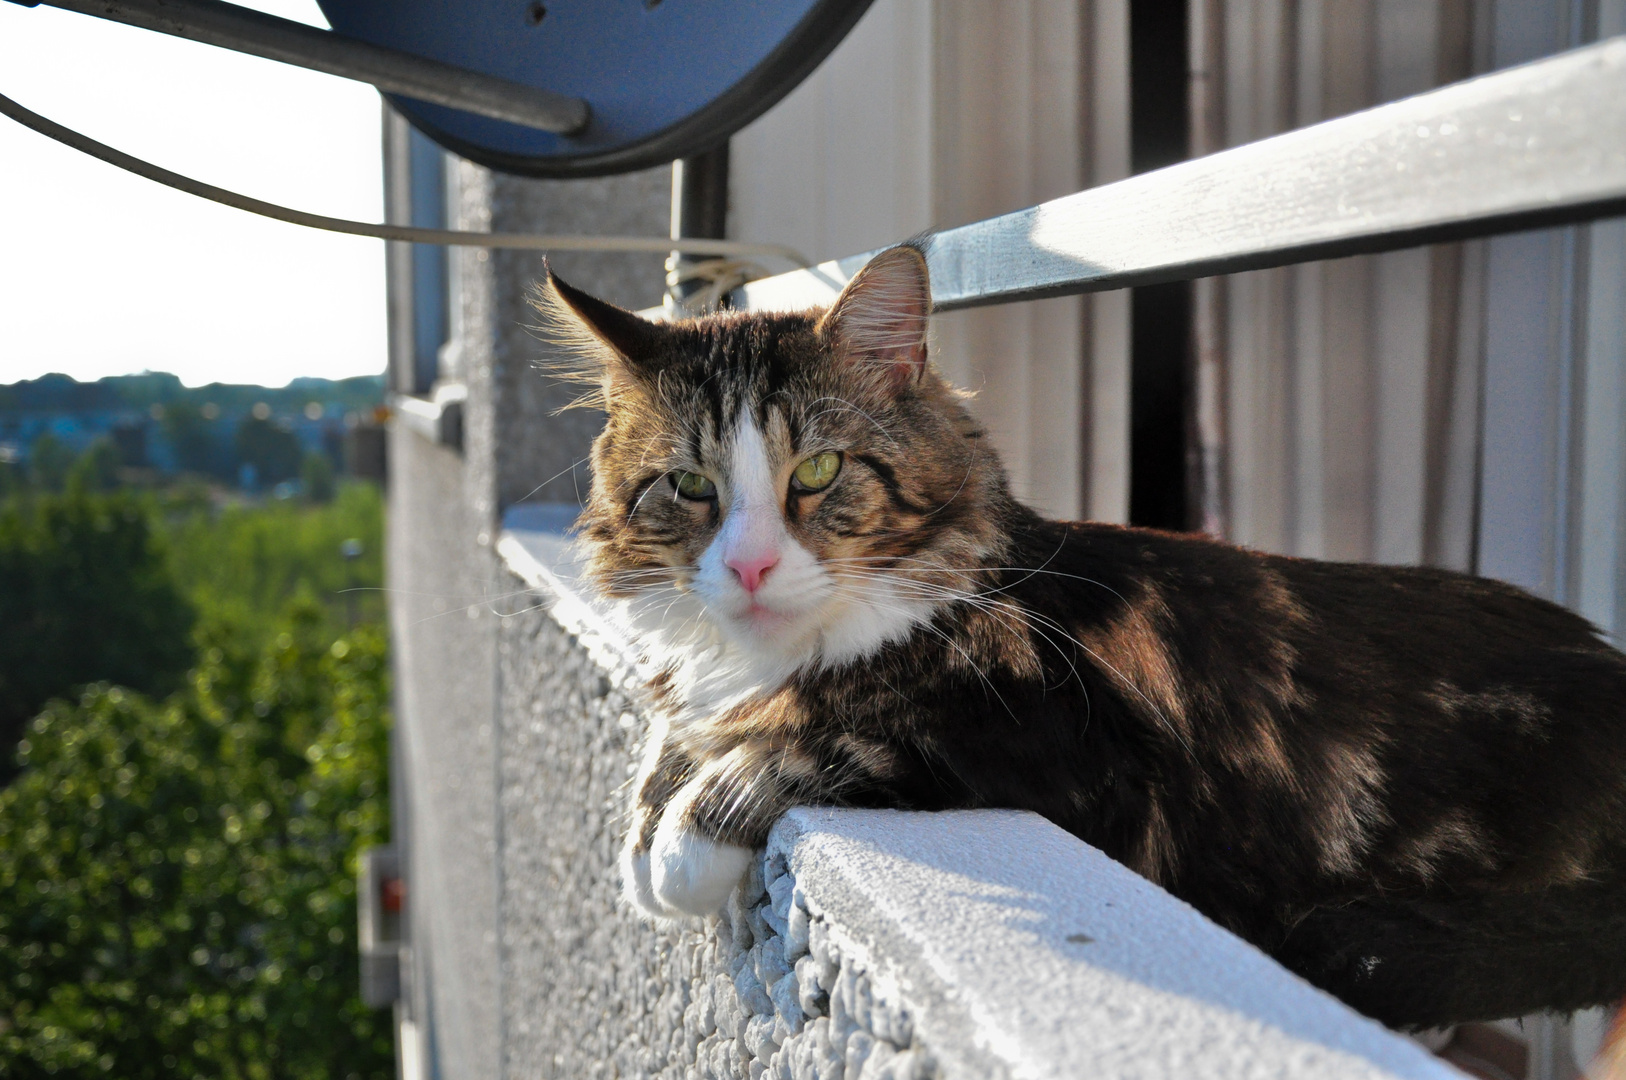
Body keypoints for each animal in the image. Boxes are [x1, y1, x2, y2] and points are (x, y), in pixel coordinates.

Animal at [543, 243, 1626, 1027]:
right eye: (690, 486)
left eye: (817, 472)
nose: (751, 567)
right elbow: (677, 737)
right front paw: (648, 820)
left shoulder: (1067, 759)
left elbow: (827, 736)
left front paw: (681, 845)